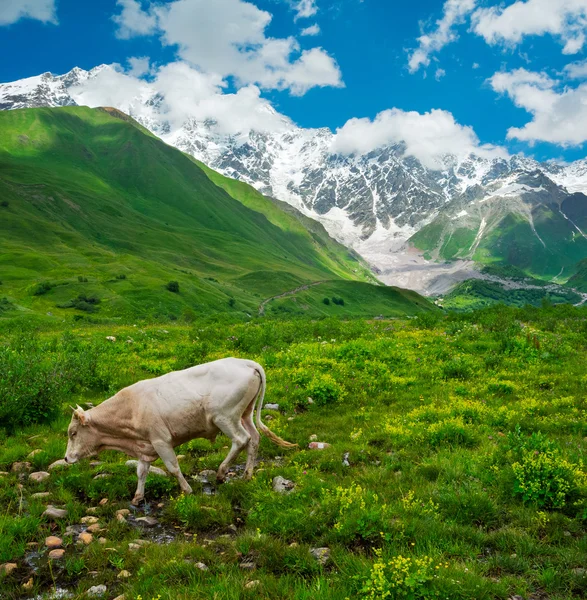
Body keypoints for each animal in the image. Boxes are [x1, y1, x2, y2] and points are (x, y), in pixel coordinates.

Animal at [64, 358, 296, 504]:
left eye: (73, 433)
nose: (66, 458)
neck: (131, 408)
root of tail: (246, 362)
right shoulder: (145, 446)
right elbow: (141, 471)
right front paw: (137, 498)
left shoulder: (160, 440)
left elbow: (173, 467)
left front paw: (187, 490)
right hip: (244, 413)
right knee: (254, 439)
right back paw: (247, 475)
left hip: (225, 416)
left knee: (241, 439)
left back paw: (221, 473)